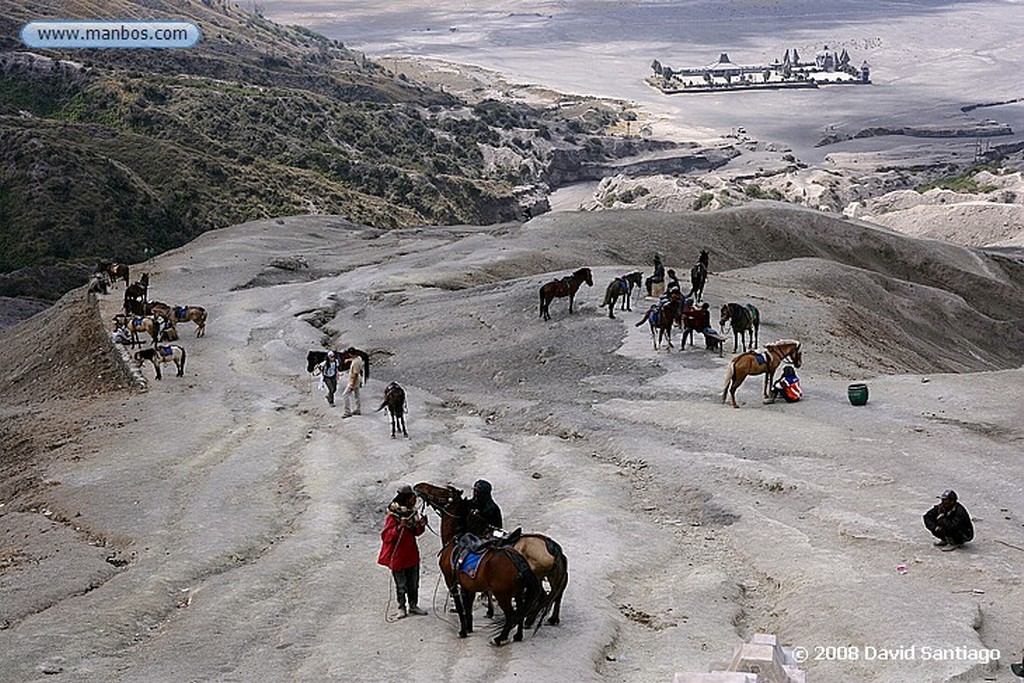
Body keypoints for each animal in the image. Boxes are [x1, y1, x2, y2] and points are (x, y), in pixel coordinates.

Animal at [413, 481, 548, 647]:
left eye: (442, 492)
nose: (419, 486)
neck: (454, 539)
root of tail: (517, 560)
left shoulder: (451, 582)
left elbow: (461, 606)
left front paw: (463, 631)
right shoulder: (468, 586)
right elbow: (468, 607)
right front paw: (469, 628)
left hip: (503, 595)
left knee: (511, 615)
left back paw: (499, 638)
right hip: (518, 593)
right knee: (520, 612)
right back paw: (517, 635)